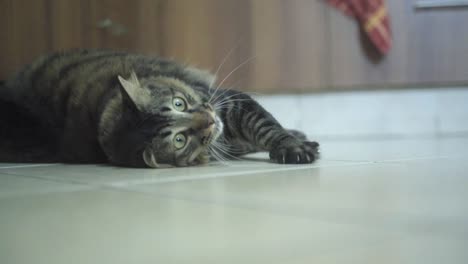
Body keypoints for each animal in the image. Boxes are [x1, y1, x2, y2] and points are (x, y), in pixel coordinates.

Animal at [0, 50, 318, 167]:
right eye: (180, 140)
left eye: (179, 103)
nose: (209, 119)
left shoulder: (228, 101)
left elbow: (266, 127)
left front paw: (293, 144)